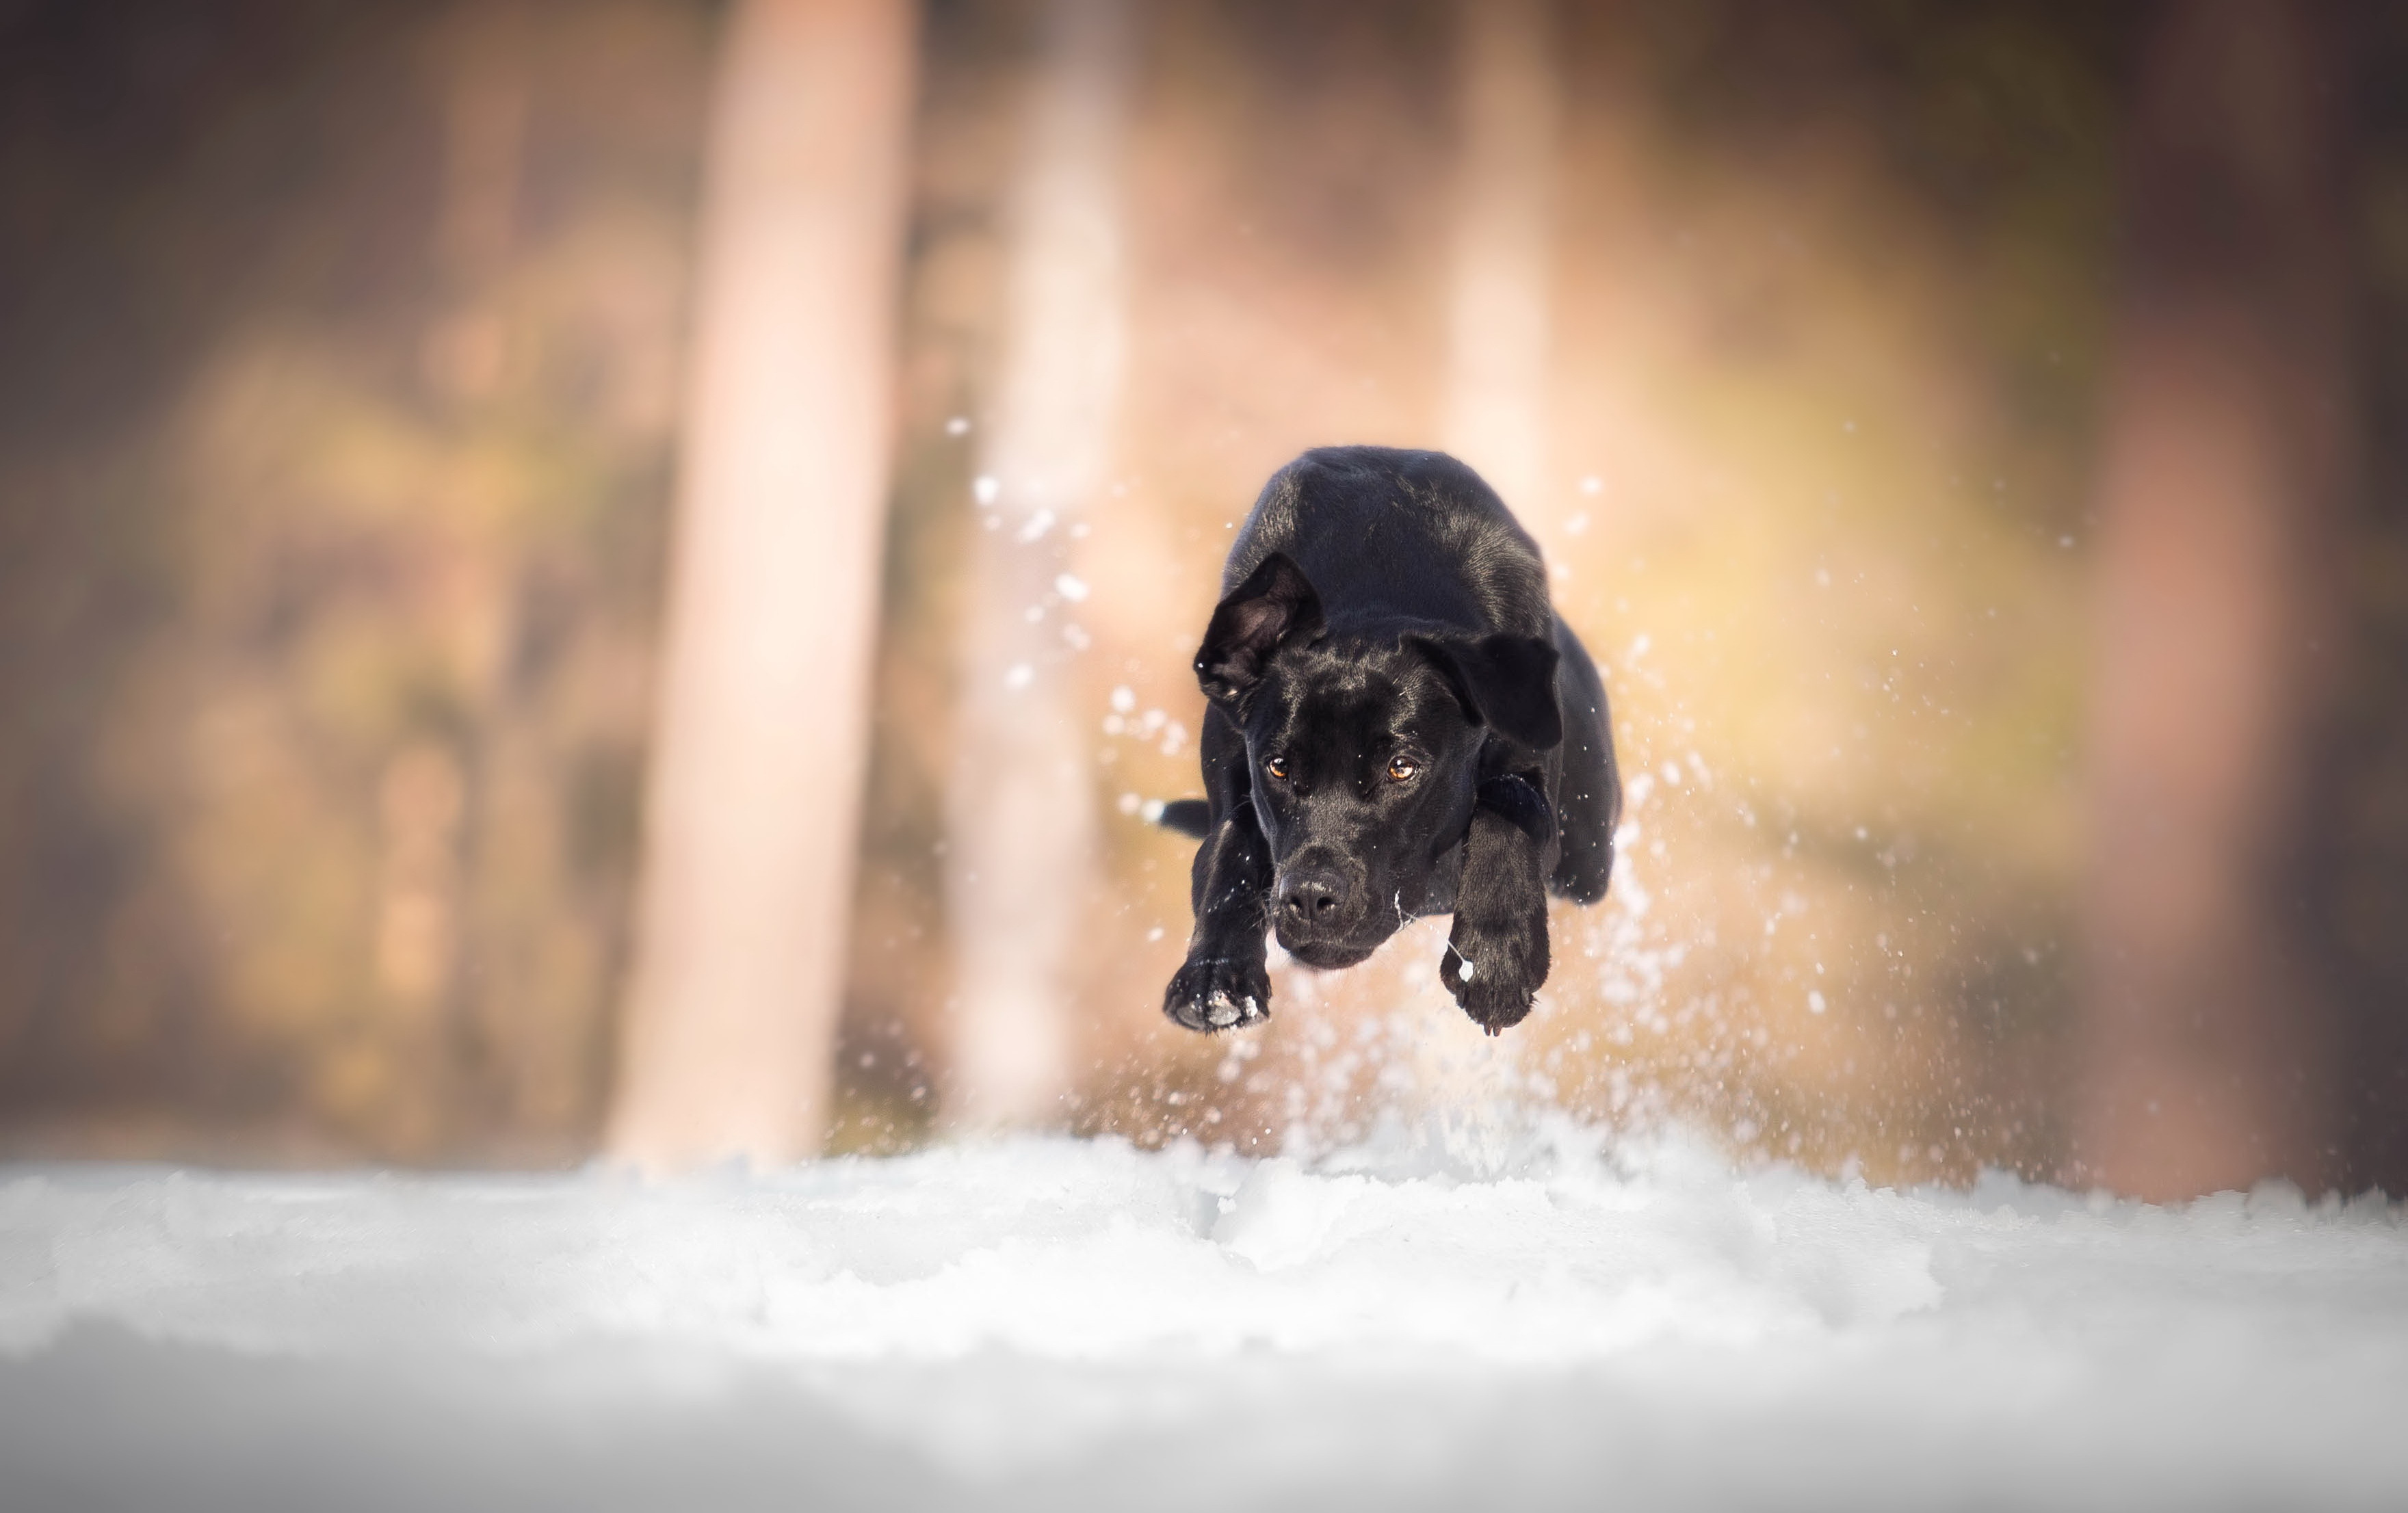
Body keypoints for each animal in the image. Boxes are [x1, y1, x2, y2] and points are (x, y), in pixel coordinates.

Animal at [1151, 443, 1618, 1036]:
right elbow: (1231, 848)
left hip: (1588, 855)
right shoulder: (1235, 778)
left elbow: (1511, 802)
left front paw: (1494, 956)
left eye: (1402, 767)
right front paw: (1214, 977)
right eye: (1278, 766)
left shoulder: (1529, 758)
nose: (1311, 896)